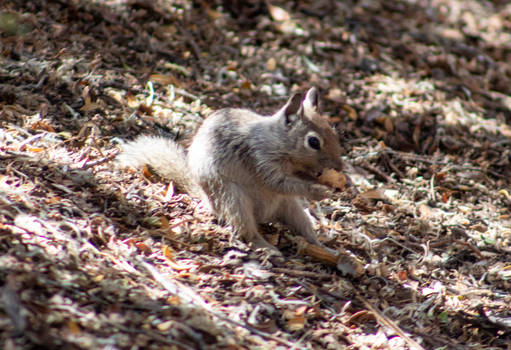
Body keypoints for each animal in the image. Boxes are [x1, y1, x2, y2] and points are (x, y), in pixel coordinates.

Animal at [119, 88, 344, 254]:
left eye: (334, 131)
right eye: (313, 142)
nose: (339, 166)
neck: (276, 140)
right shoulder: (260, 159)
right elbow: (280, 182)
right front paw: (318, 191)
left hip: (290, 207)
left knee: (305, 229)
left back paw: (325, 248)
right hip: (234, 200)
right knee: (247, 232)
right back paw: (267, 247)